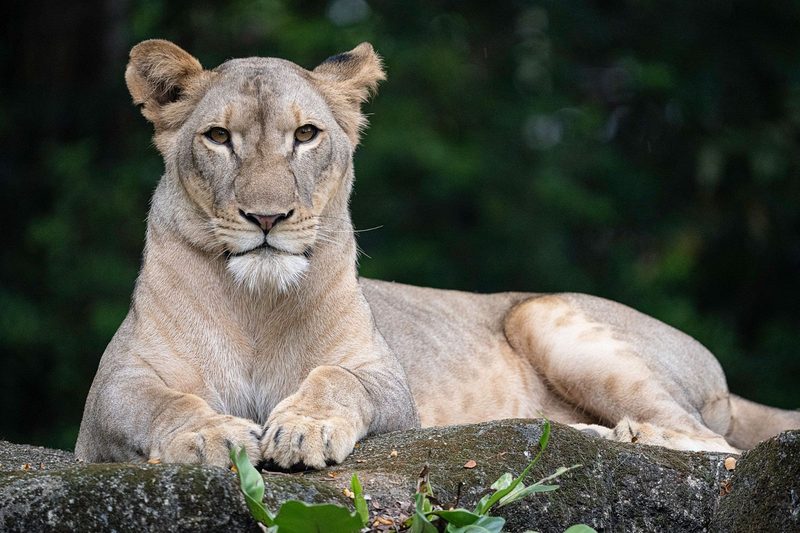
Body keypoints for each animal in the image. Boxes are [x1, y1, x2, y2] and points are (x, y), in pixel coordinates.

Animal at [75, 40, 799, 469]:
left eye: (305, 135)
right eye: (219, 137)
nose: (267, 217)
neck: (253, 301)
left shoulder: (390, 386)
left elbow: (337, 378)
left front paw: (304, 428)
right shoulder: (107, 398)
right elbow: (158, 403)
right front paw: (212, 436)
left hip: (542, 313)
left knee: (715, 446)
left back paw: (600, 434)